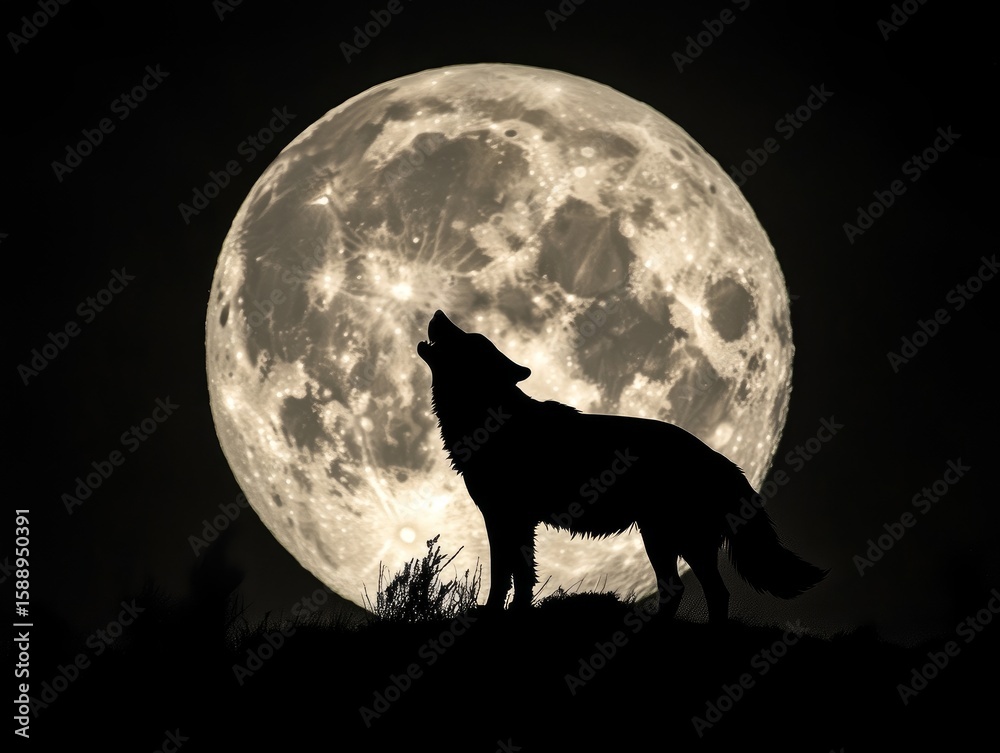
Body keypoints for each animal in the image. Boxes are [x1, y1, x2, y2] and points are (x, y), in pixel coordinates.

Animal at [417, 310, 826, 623]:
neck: (490, 418)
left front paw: (491, 615)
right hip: (663, 539)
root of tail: (725, 463)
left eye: (467, 338)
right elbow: (521, 576)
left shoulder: (506, 517)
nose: (437, 313)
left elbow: (505, 574)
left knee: (712, 592)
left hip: (675, 539)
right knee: (680, 589)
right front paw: (516, 613)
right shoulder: (514, 521)